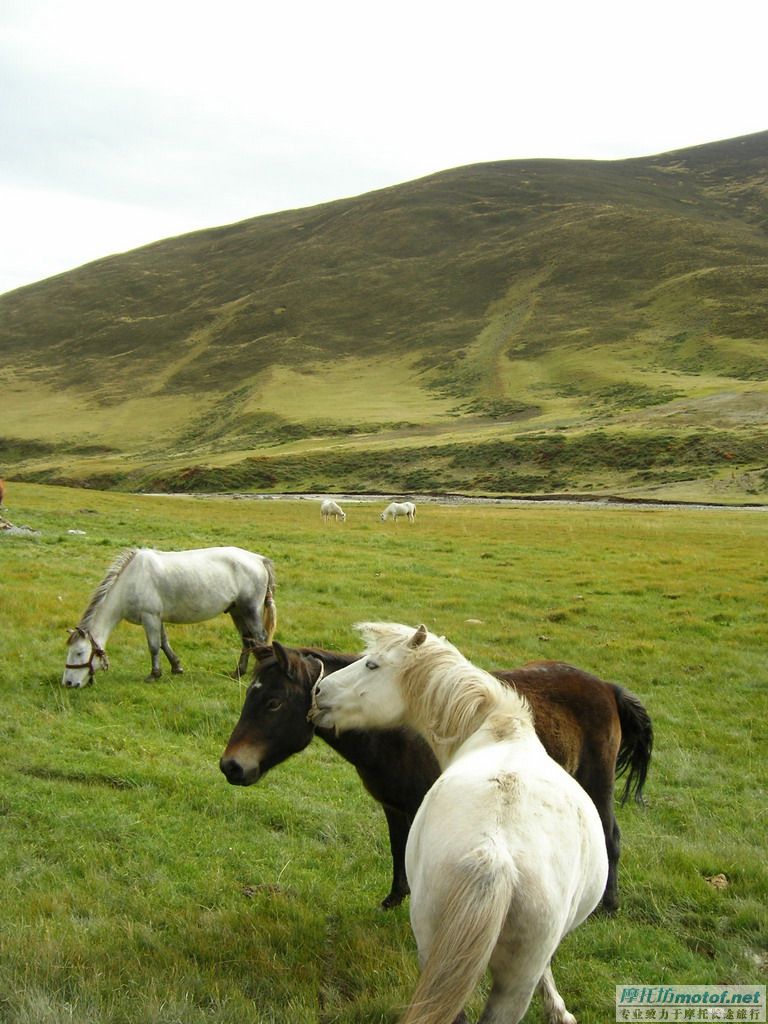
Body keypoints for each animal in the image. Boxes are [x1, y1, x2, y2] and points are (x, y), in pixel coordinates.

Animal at [61, 544, 276, 688]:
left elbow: (154, 646)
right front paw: (176, 667)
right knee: (247, 640)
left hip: (250, 609)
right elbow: (164, 643)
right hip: (236, 611)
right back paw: (238, 672)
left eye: (79, 652)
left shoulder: (150, 617)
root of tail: (259, 559)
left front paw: (154, 674)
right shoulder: (157, 618)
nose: (68, 683)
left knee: (260, 637)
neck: (131, 581)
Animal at [219, 638, 651, 913]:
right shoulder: (395, 806)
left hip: (597, 785)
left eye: (273, 703)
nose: (231, 766)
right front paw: (393, 901)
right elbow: (398, 851)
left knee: (611, 836)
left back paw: (608, 905)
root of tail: (606, 688)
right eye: (251, 697)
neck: (393, 728)